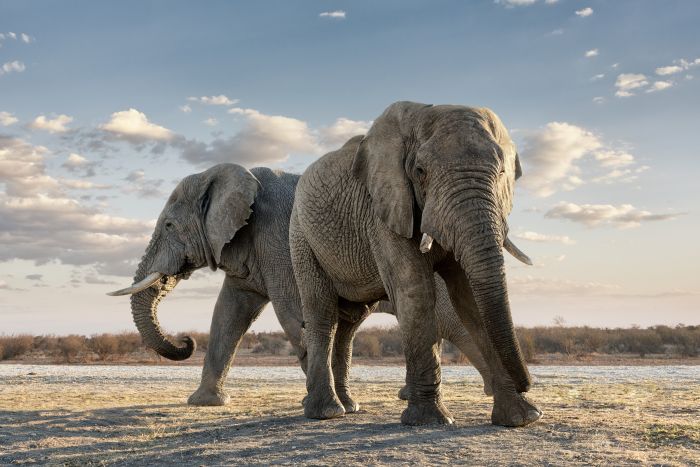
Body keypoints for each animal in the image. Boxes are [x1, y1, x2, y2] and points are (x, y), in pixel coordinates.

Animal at [105, 162, 498, 410]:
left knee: (452, 325)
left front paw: (321, 405)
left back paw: (493, 394)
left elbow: (291, 313)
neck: (222, 174)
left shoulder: (277, 239)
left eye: (169, 225)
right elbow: (229, 314)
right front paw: (205, 403)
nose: (186, 340)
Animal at [290, 101, 540, 428]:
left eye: (501, 173)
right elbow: (416, 292)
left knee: (348, 324)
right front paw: (430, 420)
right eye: (420, 172)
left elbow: (470, 299)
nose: (528, 383)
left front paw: (521, 418)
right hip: (301, 235)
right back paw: (327, 412)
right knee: (322, 313)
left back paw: (348, 406)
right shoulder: (384, 210)